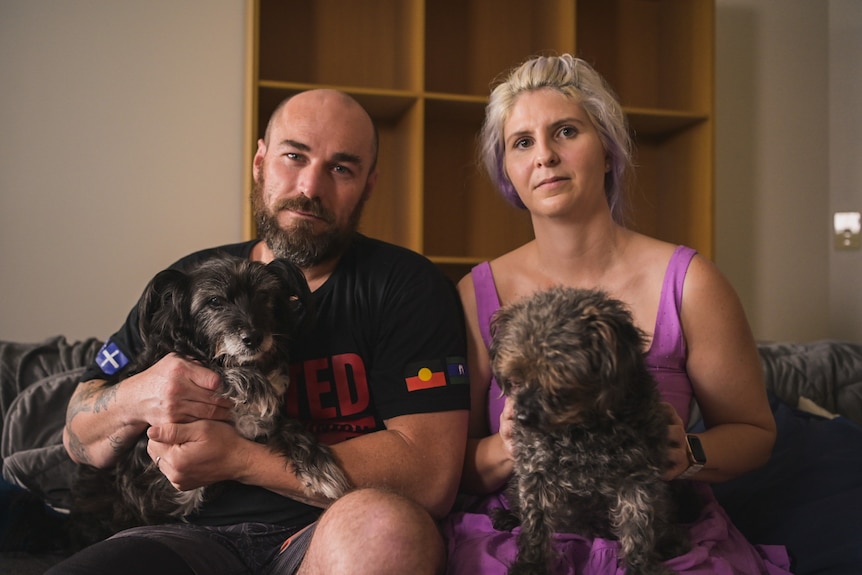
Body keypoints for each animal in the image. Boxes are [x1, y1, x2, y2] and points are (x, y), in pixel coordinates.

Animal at [69, 255, 350, 544]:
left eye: (264, 295)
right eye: (214, 301)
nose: (254, 338)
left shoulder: (264, 424)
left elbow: (290, 426)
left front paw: (318, 465)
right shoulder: (143, 456)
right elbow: (204, 364)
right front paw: (252, 384)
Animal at [490, 286, 700, 575]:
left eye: (558, 380)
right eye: (516, 378)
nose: (522, 418)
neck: (579, 429)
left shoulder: (637, 477)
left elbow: (638, 528)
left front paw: (642, 566)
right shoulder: (534, 472)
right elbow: (534, 526)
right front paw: (531, 565)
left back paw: (670, 540)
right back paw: (508, 516)